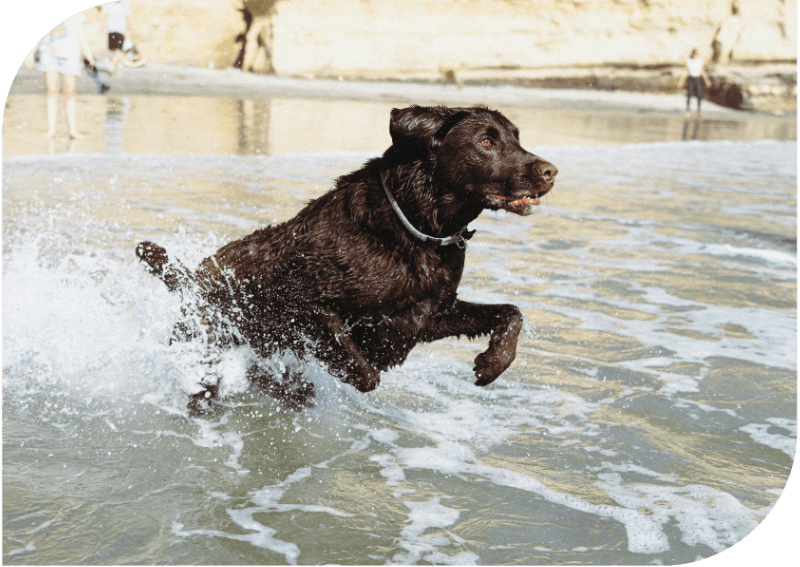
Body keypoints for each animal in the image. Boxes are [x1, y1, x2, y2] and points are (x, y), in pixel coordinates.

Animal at [136, 104, 556, 410]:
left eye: (516, 138)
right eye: (486, 141)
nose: (551, 171)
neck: (415, 231)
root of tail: (192, 277)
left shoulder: (430, 315)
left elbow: (511, 312)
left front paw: (493, 362)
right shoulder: (304, 302)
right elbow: (364, 370)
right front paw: (289, 383)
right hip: (204, 340)